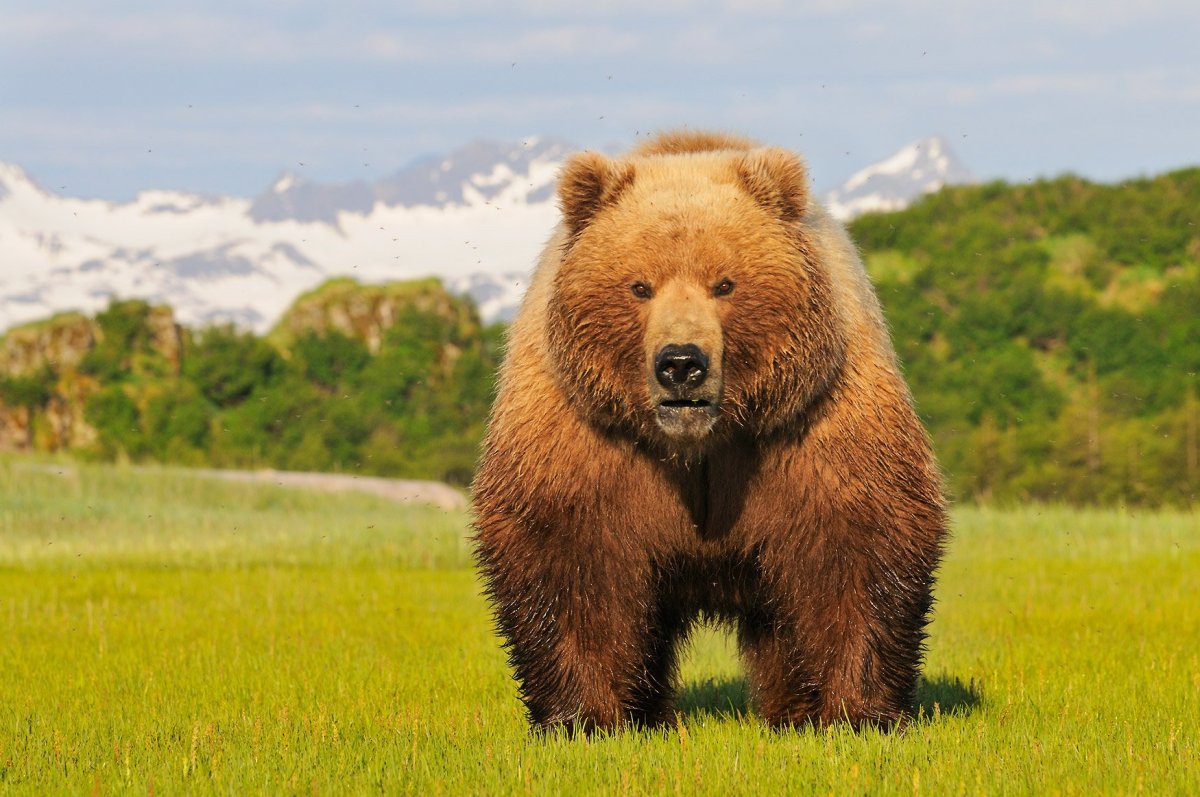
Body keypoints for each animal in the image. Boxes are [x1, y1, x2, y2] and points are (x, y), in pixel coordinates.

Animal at [471, 130, 947, 733]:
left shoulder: (812, 425)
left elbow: (857, 541)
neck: (700, 445)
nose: (680, 363)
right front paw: (582, 717)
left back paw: (792, 711)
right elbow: (567, 553)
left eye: (725, 283)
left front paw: (859, 713)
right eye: (639, 285)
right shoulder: (585, 433)